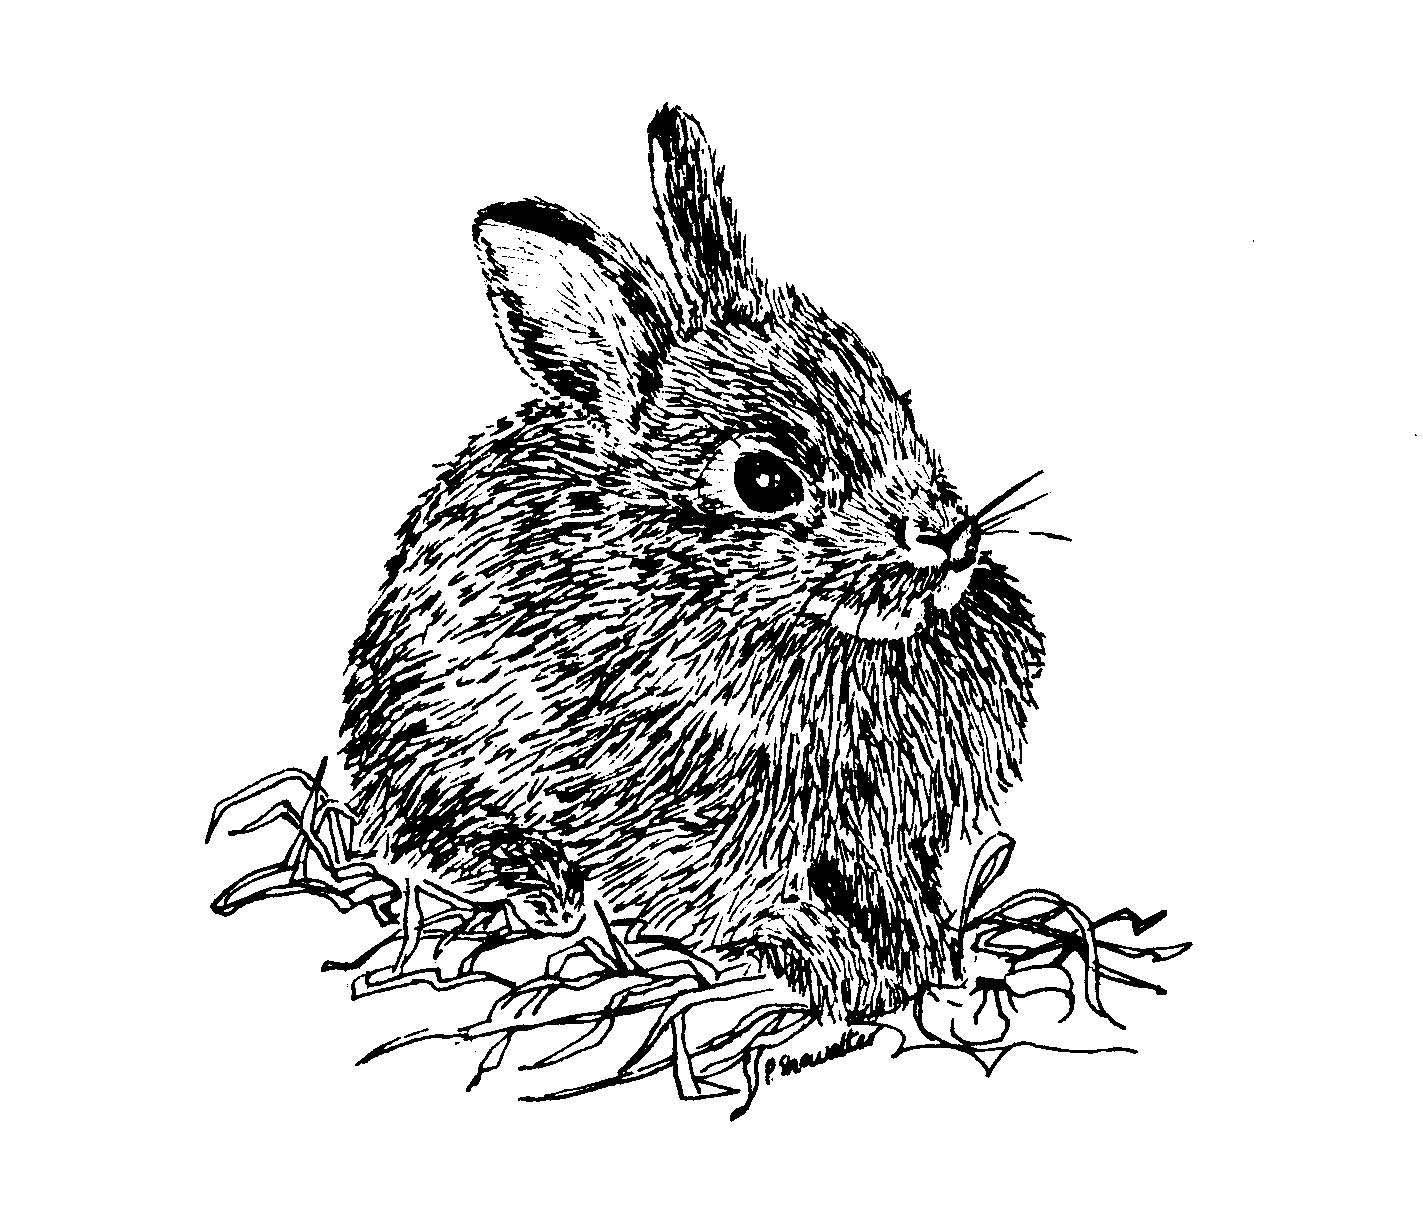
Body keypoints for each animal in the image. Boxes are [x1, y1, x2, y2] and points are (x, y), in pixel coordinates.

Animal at [340, 105, 1045, 1018]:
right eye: (763, 481)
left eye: (900, 406)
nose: (948, 538)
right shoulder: (685, 834)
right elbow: (748, 903)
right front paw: (844, 970)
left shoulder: (886, 837)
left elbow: (895, 891)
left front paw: (923, 956)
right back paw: (528, 874)